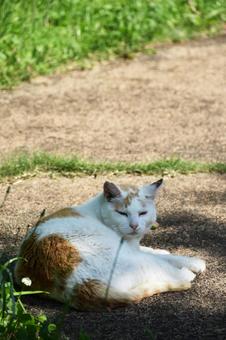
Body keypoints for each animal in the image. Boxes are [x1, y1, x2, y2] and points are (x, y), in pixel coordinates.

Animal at [13, 181, 205, 310]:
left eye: (143, 213)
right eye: (122, 213)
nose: (134, 225)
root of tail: (79, 286)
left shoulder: (134, 246)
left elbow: (153, 250)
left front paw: (166, 252)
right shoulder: (132, 249)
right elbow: (161, 257)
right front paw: (192, 263)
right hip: (132, 260)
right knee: (163, 270)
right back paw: (186, 274)